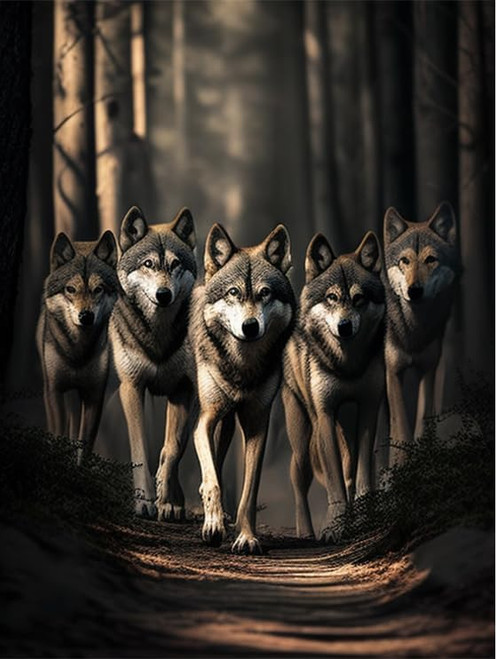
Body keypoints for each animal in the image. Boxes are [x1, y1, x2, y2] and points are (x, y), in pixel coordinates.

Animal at [37, 230, 119, 462]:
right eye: (71, 289)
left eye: (98, 289)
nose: (86, 316)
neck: (78, 352)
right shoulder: (55, 391)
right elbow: (59, 433)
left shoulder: (94, 396)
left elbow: (85, 446)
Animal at [109, 205, 197, 518]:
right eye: (148, 264)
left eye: (175, 265)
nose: (163, 294)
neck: (158, 335)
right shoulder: (132, 387)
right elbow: (140, 449)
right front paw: (144, 501)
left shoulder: (183, 389)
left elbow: (173, 448)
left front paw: (167, 500)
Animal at [190, 223, 296, 554]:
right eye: (233, 293)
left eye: (265, 293)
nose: (250, 326)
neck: (242, 367)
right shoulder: (205, 419)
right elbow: (212, 479)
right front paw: (212, 526)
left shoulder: (257, 425)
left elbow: (249, 491)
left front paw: (246, 536)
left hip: (227, 423)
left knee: (219, 457)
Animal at [282, 231, 385, 542]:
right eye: (332, 297)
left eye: (359, 298)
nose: (344, 326)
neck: (347, 367)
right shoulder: (325, 416)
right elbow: (334, 480)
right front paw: (335, 526)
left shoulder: (369, 409)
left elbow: (361, 476)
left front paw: (364, 518)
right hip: (303, 443)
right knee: (298, 480)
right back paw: (306, 533)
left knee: (351, 468)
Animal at [383, 202, 459, 466]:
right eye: (404, 260)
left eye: (431, 260)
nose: (414, 290)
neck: (413, 332)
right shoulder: (393, 373)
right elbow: (401, 430)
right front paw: (400, 467)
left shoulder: (428, 369)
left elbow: (422, 424)